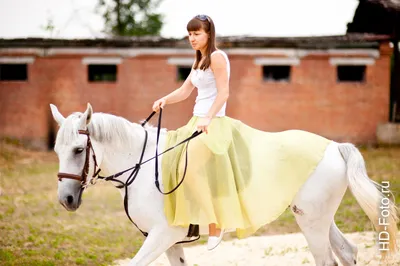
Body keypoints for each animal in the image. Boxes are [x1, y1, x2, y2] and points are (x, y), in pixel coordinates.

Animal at [50, 103, 400, 264]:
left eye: (79, 150)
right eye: (57, 150)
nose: (66, 199)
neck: (143, 163)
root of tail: (334, 146)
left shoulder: (164, 234)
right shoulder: (169, 241)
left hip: (312, 221)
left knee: (326, 259)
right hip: (317, 216)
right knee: (347, 251)